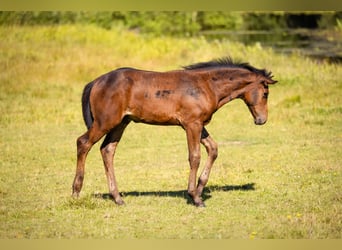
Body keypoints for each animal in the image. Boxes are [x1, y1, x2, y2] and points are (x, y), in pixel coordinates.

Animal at [72, 56, 278, 207]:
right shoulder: (191, 124)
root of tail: (96, 81)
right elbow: (194, 157)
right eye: (265, 94)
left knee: (107, 150)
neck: (206, 85)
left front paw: (200, 190)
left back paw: (118, 197)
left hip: (121, 123)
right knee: (83, 143)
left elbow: (213, 149)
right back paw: (76, 191)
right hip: (105, 122)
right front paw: (194, 197)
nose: (261, 120)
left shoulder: (199, 124)